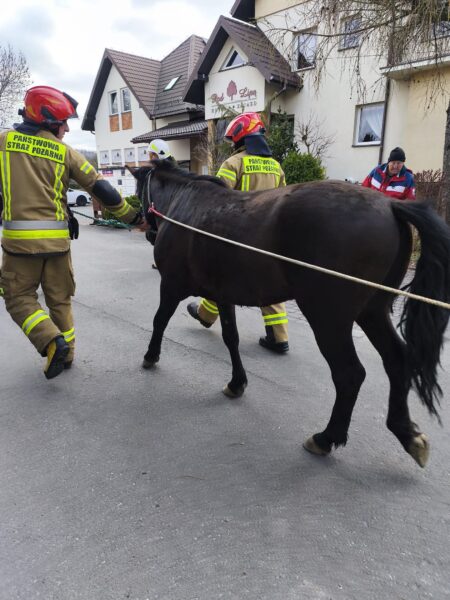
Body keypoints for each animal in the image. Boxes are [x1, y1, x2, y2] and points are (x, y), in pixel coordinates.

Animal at [133, 160, 450, 468]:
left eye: (138, 190)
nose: (145, 227)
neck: (187, 205)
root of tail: (389, 205)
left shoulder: (171, 285)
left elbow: (159, 321)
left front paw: (150, 355)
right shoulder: (223, 297)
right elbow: (231, 338)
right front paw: (237, 382)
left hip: (328, 319)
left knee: (349, 374)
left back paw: (326, 438)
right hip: (372, 312)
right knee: (396, 360)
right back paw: (406, 432)